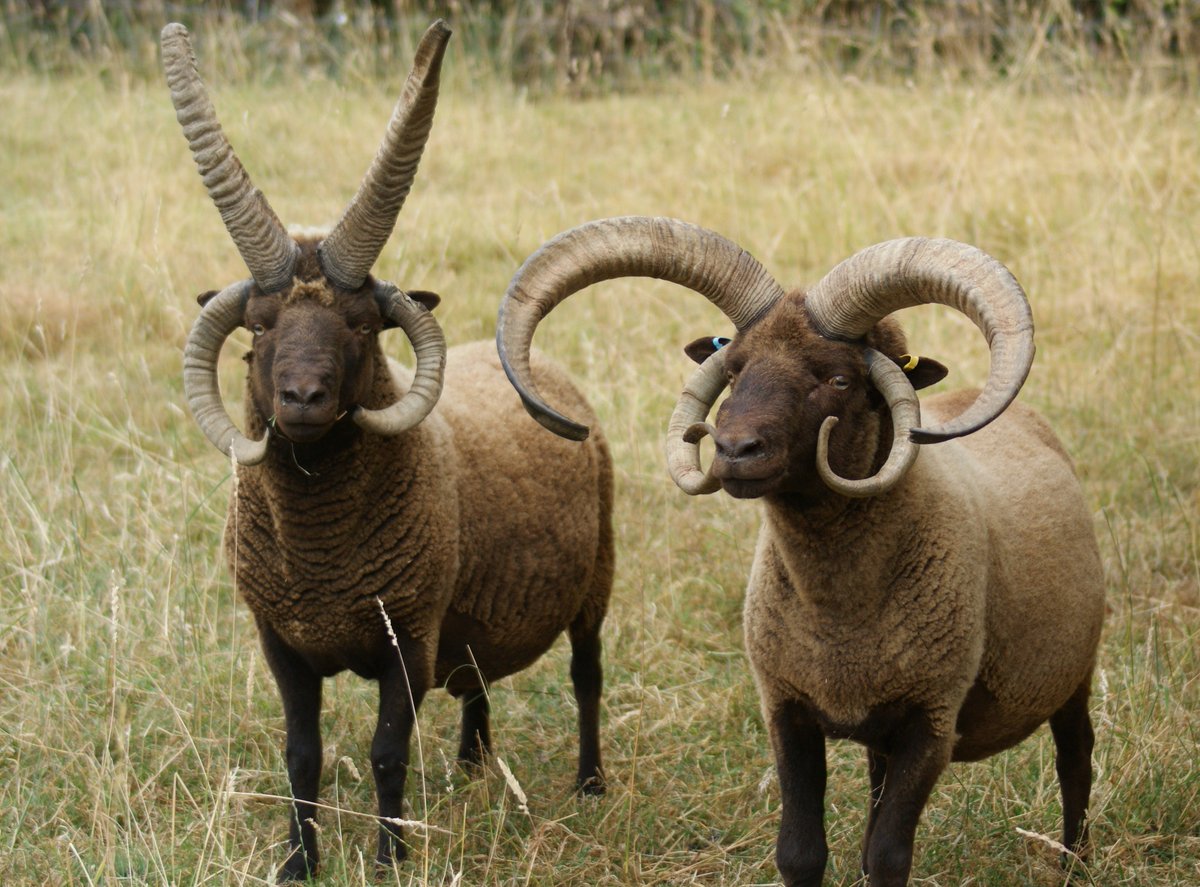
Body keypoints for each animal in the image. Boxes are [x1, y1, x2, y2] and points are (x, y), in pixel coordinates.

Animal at [162, 21, 614, 881]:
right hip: (475, 603)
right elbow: (301, 755)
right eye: (260, 326)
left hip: (596, 580)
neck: (320, 553)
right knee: (478, 678)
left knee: (587, 675)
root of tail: (542, 364)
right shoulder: (283, 641)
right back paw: (474, 763)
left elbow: (384, 752)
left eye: (361, 325)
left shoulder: (408, 634)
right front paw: (298, 861)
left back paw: (592, 783)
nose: (303, 400)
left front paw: (390, 854)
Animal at [494, 216, 1105, 887]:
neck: (841, 610)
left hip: (1074, 671)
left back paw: (1075, 862)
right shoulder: (788, 709)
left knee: (1076, 758)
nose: (734, 450)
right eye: (734, 369)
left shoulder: (932, 719)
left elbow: (889, 856)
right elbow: (801, 852)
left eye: (839, 378)